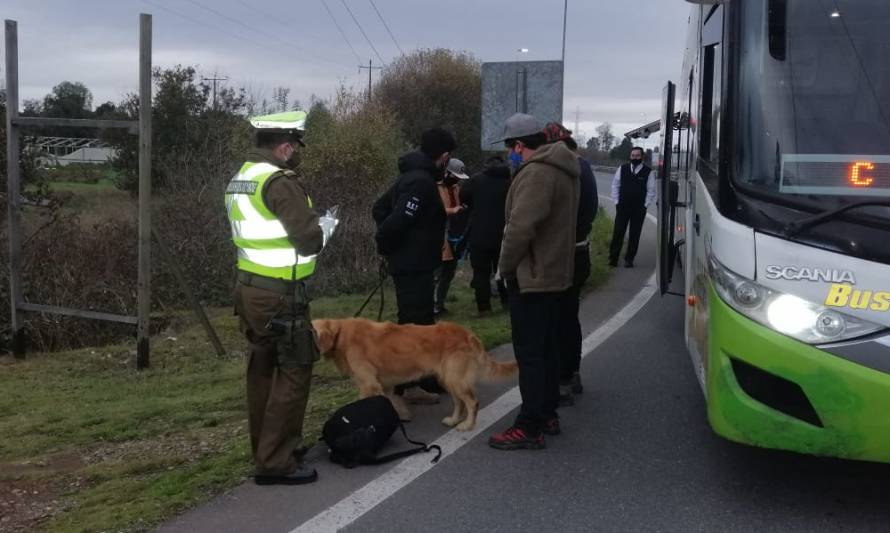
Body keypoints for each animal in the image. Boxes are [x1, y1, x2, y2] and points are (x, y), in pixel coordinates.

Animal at [312, 318, 516, 430]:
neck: (340, 334)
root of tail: (468, 333)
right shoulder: (384, 384)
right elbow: (391, 401)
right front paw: (400, 416)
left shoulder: (368, 384)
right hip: (447, 379)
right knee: (459, 402)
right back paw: (454, 420)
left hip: (455, 378)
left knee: (472, 402)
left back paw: (467, 425)